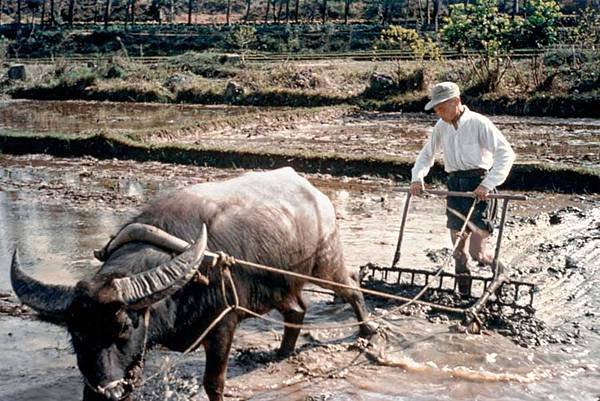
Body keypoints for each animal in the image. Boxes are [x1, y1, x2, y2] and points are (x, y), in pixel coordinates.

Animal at [11, 166, 372, 400]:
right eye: (75, 334)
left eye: (124, 327)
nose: (107, 393)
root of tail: (314, 193)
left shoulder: (224, 325)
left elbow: (213, 383)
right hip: (280, 284)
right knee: (297, 309)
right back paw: (281, 352)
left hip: (324, 264)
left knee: (352, 286)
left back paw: (368, 330)